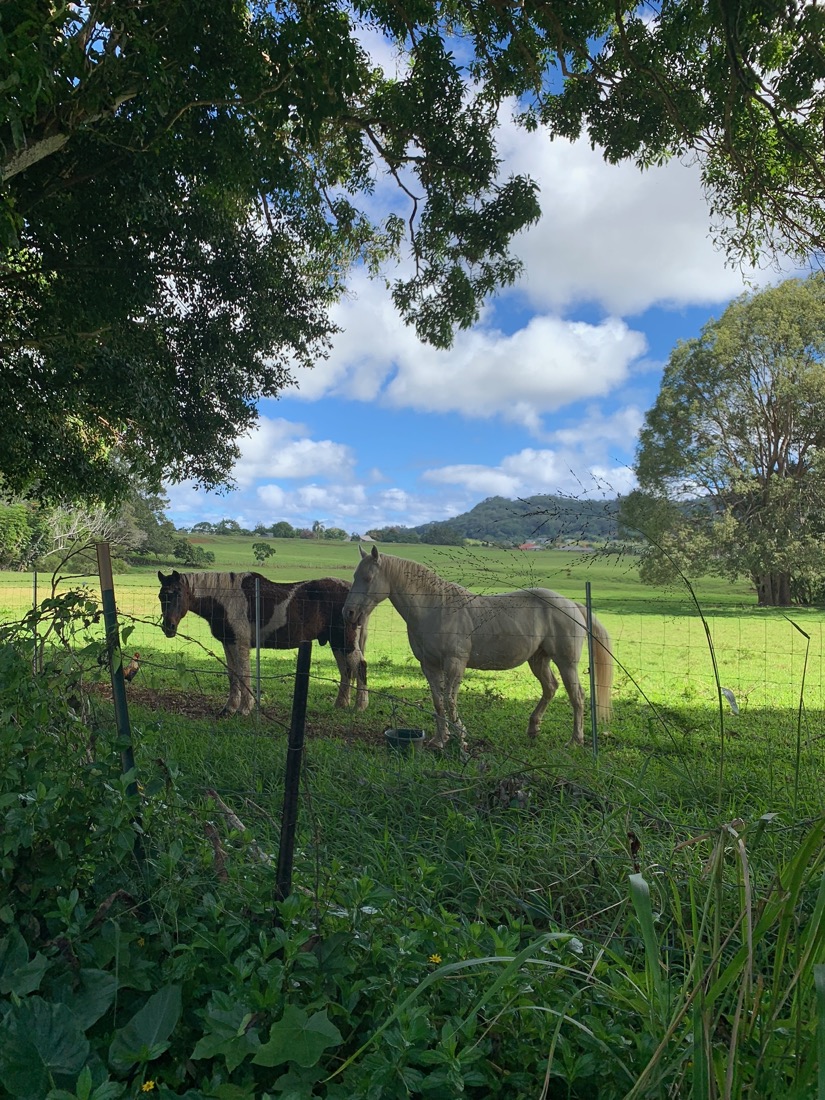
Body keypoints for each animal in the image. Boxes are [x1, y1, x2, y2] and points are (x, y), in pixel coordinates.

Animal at [157, 570, 369, 716]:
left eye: (178, 593)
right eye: (161, 596)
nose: (168, 627)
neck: (226, 598)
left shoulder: (240, 644)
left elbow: (244, 674)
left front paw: (244, 709)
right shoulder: (228, 643)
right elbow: (233, 675)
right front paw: (229, 709)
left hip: (345, 641)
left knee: (360, 666)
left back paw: (360, 706)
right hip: (337, 642)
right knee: (346, 671)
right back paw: (340, 704)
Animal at [342, 546, 612, 747]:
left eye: (368, 578)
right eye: (355, 577)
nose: (349, 612)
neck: (436, 608)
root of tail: (572, 604)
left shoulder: (455, 663)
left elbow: (450, 700)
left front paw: (460, 736)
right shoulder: (429, 665)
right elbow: (438, 701)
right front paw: (440, 739)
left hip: (566, 662)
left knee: (577, 696)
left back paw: (575, 740)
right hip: (538, 659)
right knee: (551, 687)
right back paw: (533, 728)